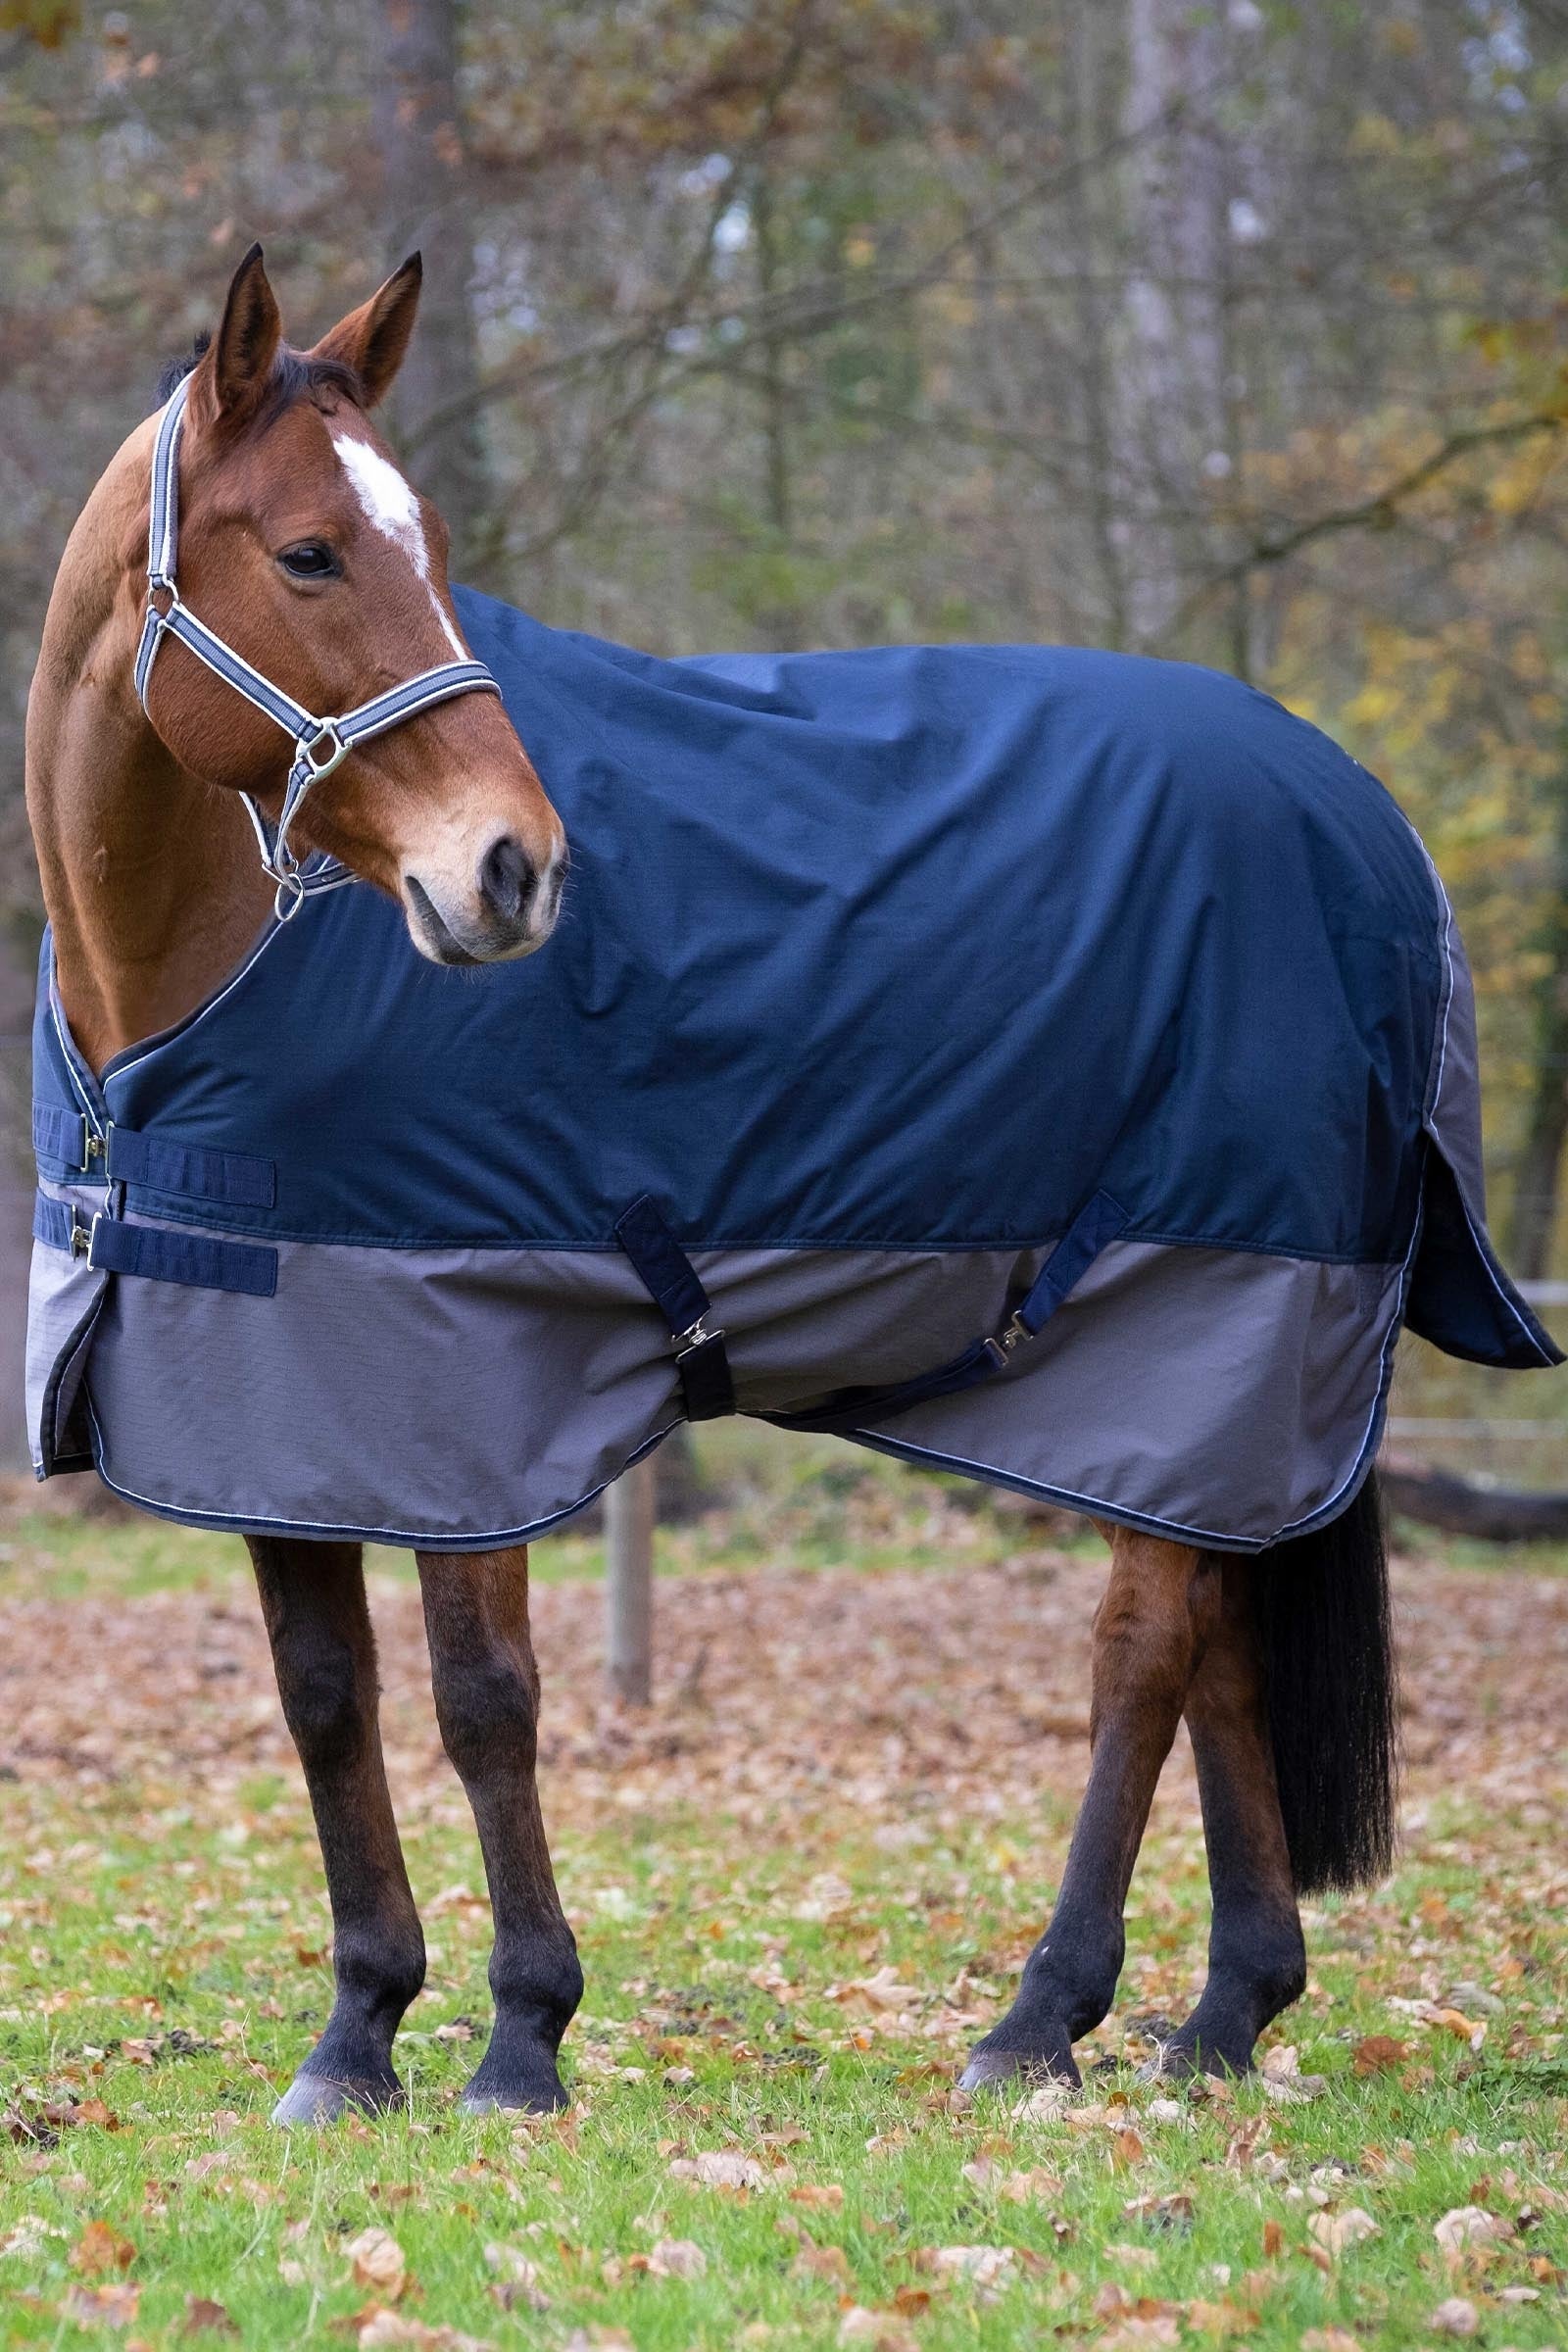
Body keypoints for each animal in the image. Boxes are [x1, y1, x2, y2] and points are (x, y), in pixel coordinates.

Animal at [24, 246, 1558, 2123]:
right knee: (1221, 1656)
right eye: (311, 552)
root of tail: (1370, 826)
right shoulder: (270, 1380)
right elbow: (326, 1698)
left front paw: (521, 2037)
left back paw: (1039, 2019)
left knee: (1144, 1658)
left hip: (1207, 1319)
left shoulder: (471, 1385)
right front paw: (357, 2035)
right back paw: (1220, 2019)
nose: (513, 871)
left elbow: (481, 1698)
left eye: (434, 553)